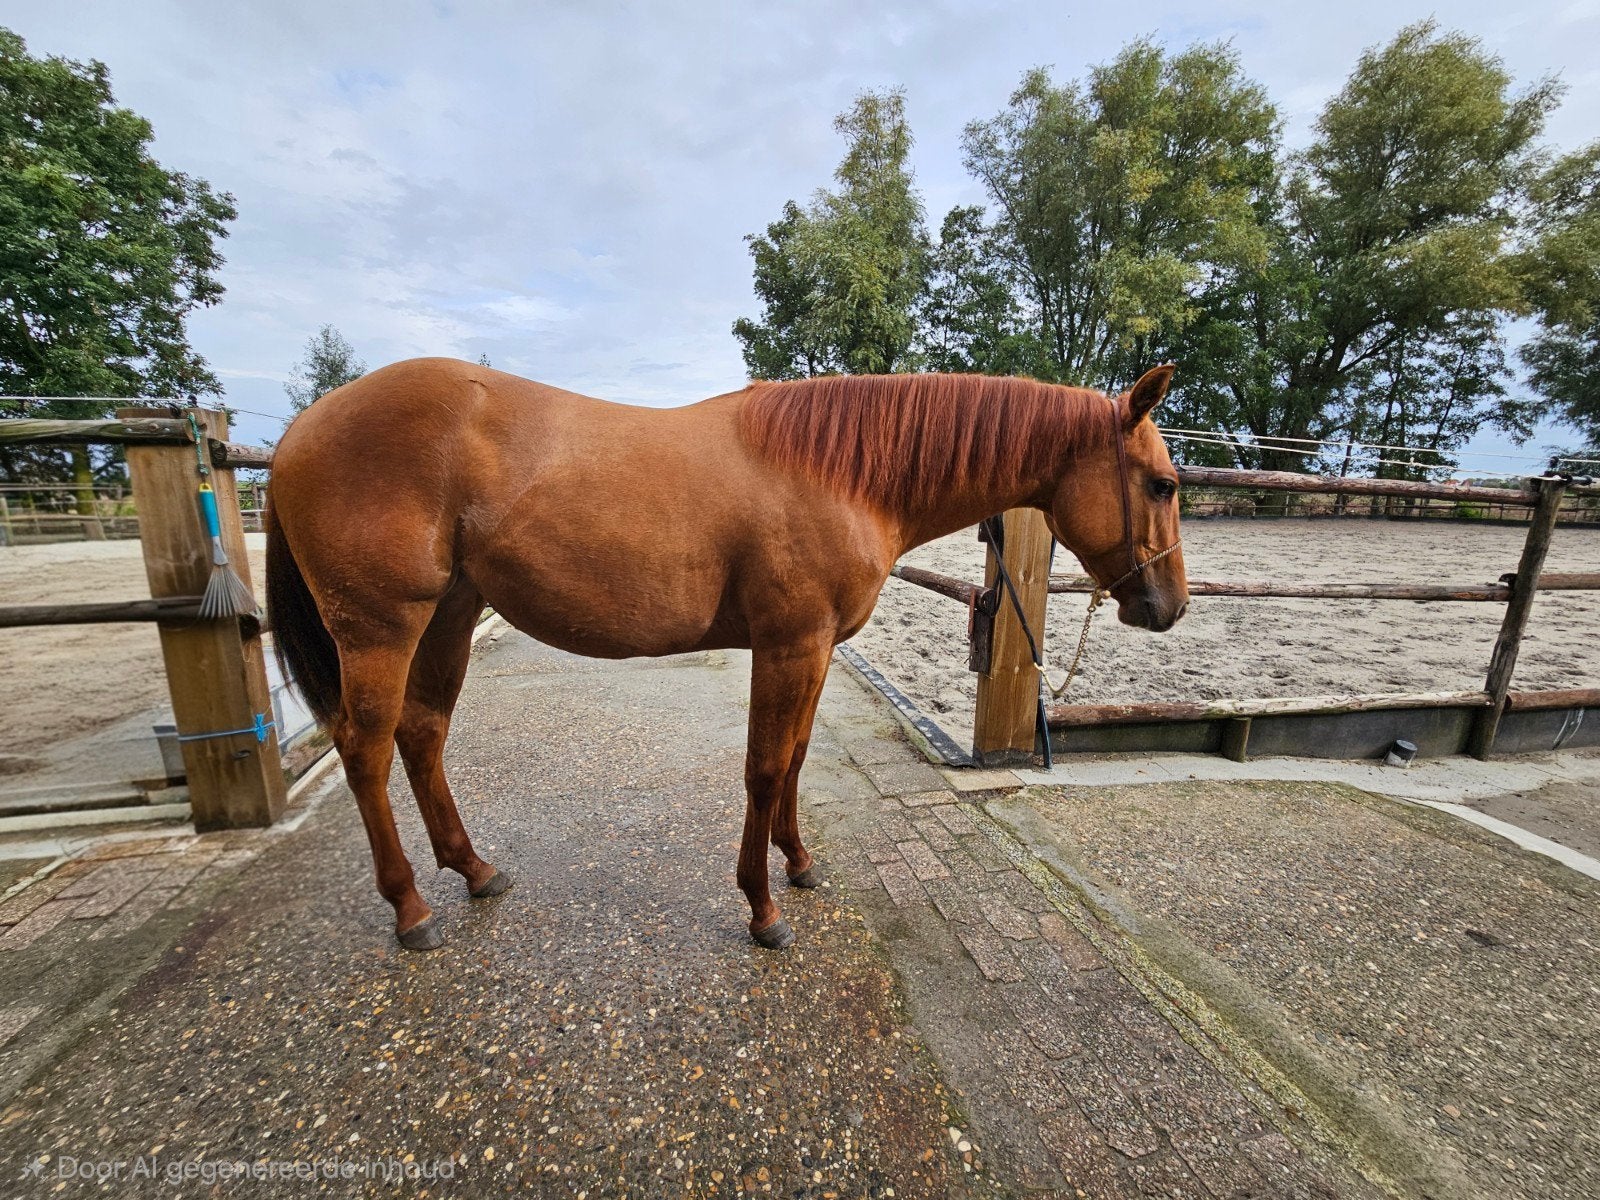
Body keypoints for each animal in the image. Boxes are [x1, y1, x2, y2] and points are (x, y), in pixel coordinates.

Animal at [265, 359, 1189, 952]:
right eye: (1162, 484)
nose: (1170, 606)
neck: (843, 474)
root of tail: (303, 428)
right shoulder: (787, 645)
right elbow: (763, 767)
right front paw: (761, 908)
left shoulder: (815, 650)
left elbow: (796, 758)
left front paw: (799, 864)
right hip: (380, 629)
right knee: (366, 750)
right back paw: (410, 908)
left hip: (449, 616)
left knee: (422, 734)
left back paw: (474, 868)